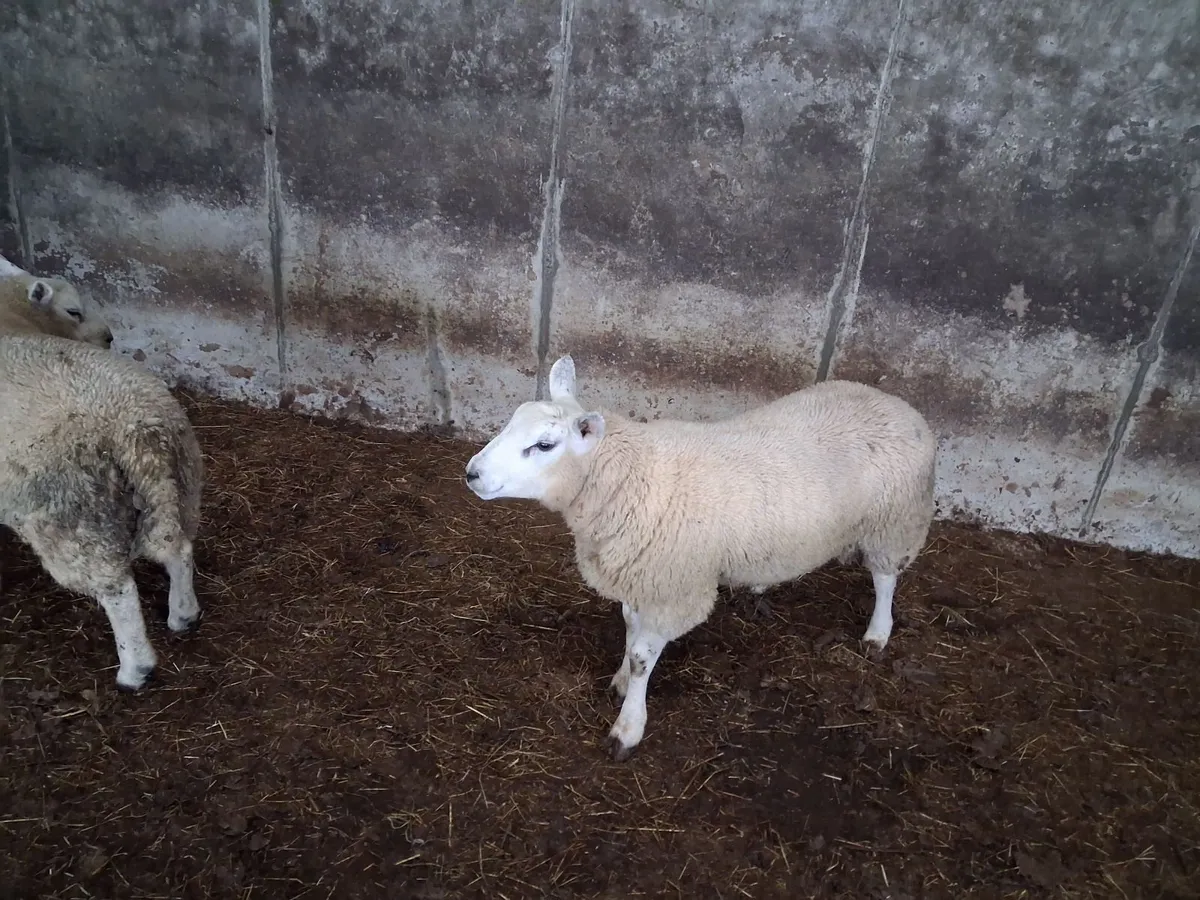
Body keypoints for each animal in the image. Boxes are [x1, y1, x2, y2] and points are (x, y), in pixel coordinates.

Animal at [0, 334, 204, 690]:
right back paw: (183, 614)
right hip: (182, 487)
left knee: (118, 590)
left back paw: (135, 671)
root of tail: (139, 433)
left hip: (75, 519)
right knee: (178, 549)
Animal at [465, 354, 936, 761]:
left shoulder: (674, 586)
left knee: (885, 578)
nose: (471, 473)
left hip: (895, 520)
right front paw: (620, 681)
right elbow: (629, 628)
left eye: (544, 445)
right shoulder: (641, 575)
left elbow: (642, 657)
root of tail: (899, 405)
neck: (631, 477)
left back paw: (877, 633)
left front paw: (627, 727)